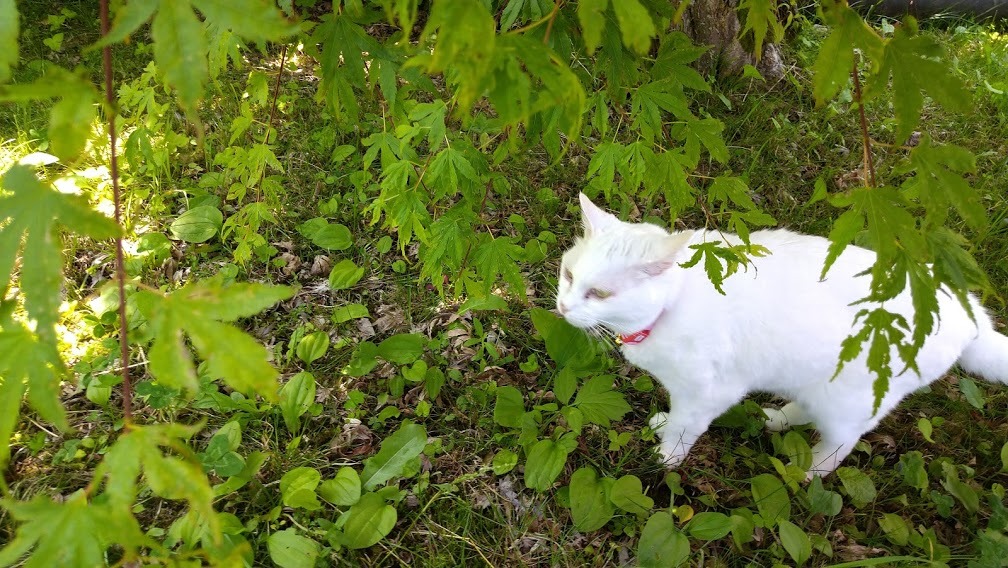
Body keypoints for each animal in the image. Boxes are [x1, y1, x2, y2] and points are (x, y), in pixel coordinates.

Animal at [560, 193, 1008, 478]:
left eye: (600, 294)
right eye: (568, 274)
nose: (563, 307)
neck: (675, 303)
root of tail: (970, 313)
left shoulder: (710, 392)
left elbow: (685, 428)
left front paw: (666, 458)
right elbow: (676, 415)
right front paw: (663, 424)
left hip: (851, 401)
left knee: (842, 443)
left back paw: (807, 473)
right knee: (807, 408)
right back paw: (776, 419)